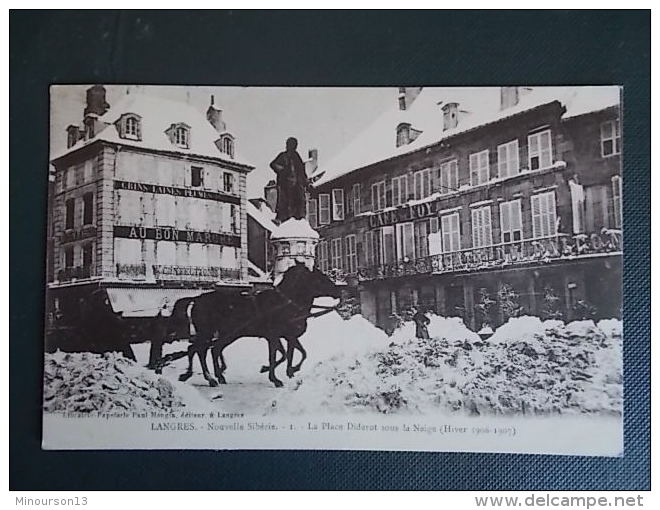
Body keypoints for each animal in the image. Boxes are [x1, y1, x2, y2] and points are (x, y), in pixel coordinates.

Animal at [178, 262, 340, 386]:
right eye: (320, 278)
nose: (338, 291)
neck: (285, 303)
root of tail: (197, 299)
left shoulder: (288, 336)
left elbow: (296, 354)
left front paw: (289, 371)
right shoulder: (274, 337)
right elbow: (277, 356)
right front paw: (275, 378)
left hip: (228, 335)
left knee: (210, 349)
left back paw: (216, 376)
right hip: (209, 333)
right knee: (199, 350)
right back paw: (209, 378)